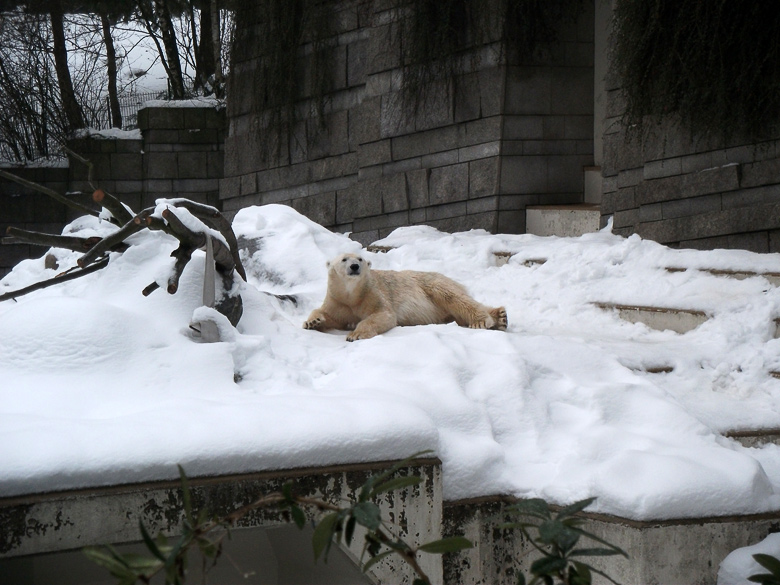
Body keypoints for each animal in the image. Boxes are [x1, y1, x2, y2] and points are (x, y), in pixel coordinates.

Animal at [302, 252, 508, 342]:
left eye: (360, 259)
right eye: (344, 259)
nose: (354, 266)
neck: (352, 294)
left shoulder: (371, 294)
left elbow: (383, 315)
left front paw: (355, 334)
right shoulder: (338, 300)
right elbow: (330, 316)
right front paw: (312, 322)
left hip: (431, 284)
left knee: (456, 298)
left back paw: (484, 320)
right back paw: (500, 316)